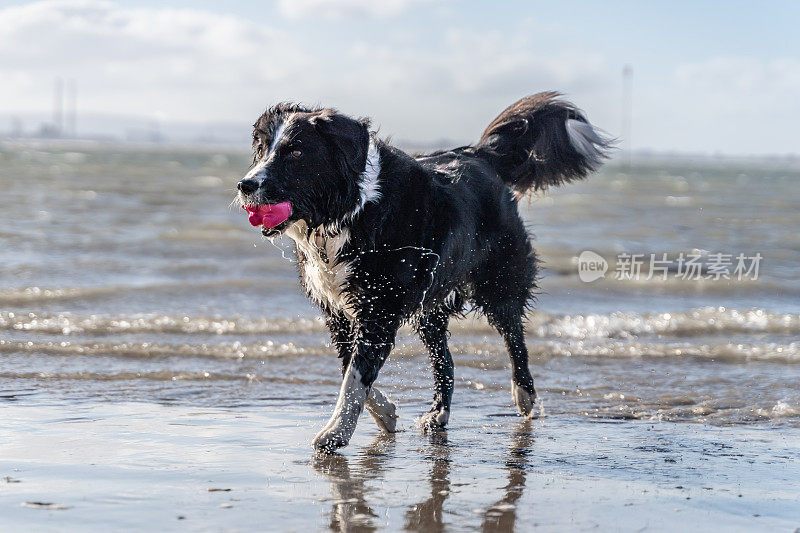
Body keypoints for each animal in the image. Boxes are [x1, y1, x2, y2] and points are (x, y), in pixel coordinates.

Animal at [234, 91, 608, 448]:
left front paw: (335, 433)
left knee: (515, 339)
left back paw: (526, 397)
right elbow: (350, 366)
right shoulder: (337, 310)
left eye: (296, 152)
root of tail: (478, 155)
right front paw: (385, 413)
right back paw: (438, 413)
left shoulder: (380, 308)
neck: (350, 211)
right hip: (430, 307)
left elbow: (355, 376)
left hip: (499, 283)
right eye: (261, 149)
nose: (245, 185)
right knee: (446, 361)